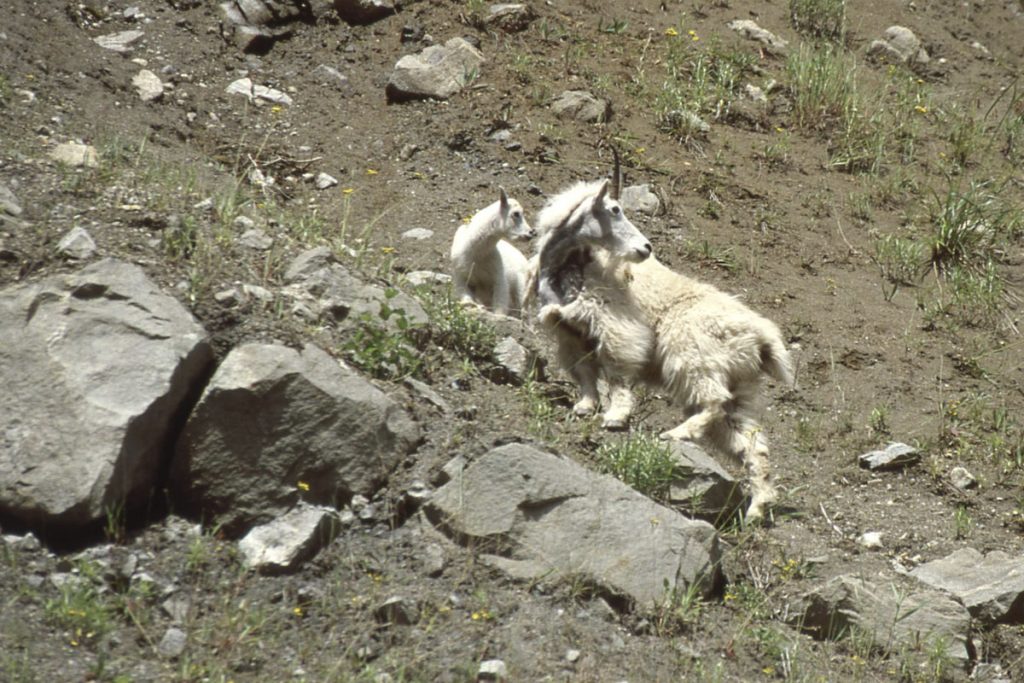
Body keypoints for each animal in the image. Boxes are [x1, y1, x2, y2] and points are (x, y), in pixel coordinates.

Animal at [454, 187, 540, 315]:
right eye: (516, 213)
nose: (531, 233)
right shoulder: (461, 277)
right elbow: (467, 301)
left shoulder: (499, 278)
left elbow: (500, 308)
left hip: (521, 286)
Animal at [532, 174, 794, 520]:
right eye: (615, 209)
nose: (646, 248)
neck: (571, 262)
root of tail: (764, 338)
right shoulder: (570, 334)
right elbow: (585, 372)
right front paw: (585, 406)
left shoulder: (614, 323)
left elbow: (616, 373)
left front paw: (615, 416)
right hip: (741, 383)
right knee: (749, 441)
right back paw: (757, 507)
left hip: (693, 354)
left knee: (714, 402)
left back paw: (676, 433)